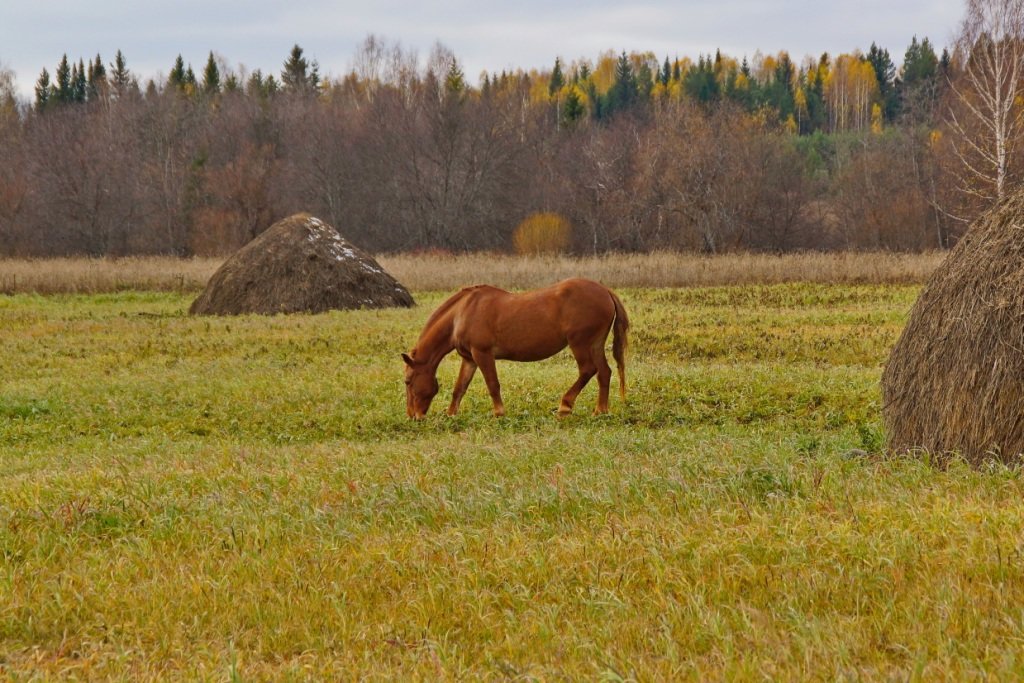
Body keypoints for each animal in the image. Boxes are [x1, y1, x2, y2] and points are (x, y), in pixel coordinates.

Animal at [401, 276, 626, 417]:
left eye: (408, 381)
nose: (413, 415)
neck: (462, 313)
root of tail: (605, 291)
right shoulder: (469, 358)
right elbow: (459, 388)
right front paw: (450, 415)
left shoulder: (482, 354)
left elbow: (493, 384)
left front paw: (499, 413)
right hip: (595, 345)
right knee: (604, 372)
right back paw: (600, 410)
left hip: (579, 343)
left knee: (588, 370)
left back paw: (565, 406)